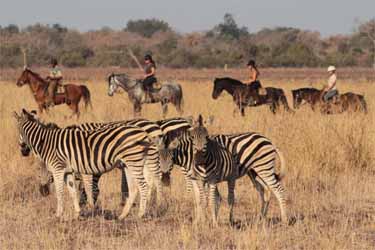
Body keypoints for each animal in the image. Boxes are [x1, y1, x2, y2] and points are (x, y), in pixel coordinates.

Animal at [14, 109, 158, 219]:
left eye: (18, 132)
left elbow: (62, 192)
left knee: (144, 186)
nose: (23, 151)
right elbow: (73, 191)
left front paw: (59, 214)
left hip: (134, 162)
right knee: (134, 188)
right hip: (128, 164)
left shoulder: (59, 168)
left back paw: (141, 214)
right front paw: (77, 214)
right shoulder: (68, 170)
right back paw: (123, 215)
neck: (46, 142)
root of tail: (144, 132)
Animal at [160, 114, 290, 225]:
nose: (165, 180)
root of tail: (268, 140)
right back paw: (261, 218)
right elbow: (199, 199)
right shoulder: (195, 178)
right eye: (159, 159)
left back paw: (284, 220)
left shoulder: (208, 177)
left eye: (171, 158)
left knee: (278, 190)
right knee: (265, 190)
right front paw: (199, 221)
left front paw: (208, 221)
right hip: (254, 172)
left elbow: (210, 199)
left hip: (264, 168)